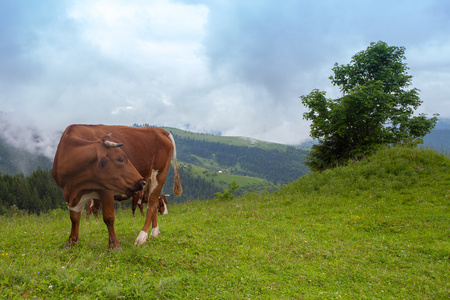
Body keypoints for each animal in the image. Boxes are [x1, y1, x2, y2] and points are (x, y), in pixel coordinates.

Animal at [51, 123, 181, 250]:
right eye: (120, 159)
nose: (140, 182)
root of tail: (158, 130)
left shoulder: (106, 189)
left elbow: (108, 217)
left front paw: (114, 245)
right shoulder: (70, 193)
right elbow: (74, 218)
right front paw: (71, 243)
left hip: (159, 175)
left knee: (152, 204)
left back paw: (142, 236)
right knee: (153, 203)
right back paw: (154, 232)